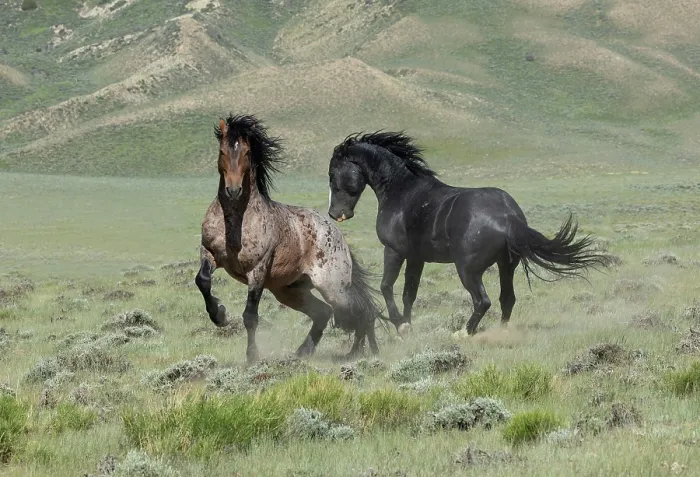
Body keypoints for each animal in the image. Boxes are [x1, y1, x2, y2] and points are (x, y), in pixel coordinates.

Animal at [194, 114, 382, 363]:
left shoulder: (257, 270)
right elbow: (203, 281)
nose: (233, 190)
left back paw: (360, 353)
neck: (235, 220)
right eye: (222, 151)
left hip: (333, 288)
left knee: (361, 310)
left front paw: (252, 356)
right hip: (289, 290)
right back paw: (304, 352)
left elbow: (250, 315)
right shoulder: (209, 253)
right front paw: (220, 316)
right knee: (324, 312)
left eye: (246, 152)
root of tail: (338, 236)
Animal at [326, 131, 612, 336]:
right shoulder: (417, 258)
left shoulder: (394, 251)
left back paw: (464, 332)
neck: (402, 192)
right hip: (506, 265)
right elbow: (409, 293)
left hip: (468, 269)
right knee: (507, 299)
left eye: (332, 174)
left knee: (483, 301)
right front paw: (408, 326)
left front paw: (401, 325)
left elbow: (386, 286)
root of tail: (509, 217)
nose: (335, 214)